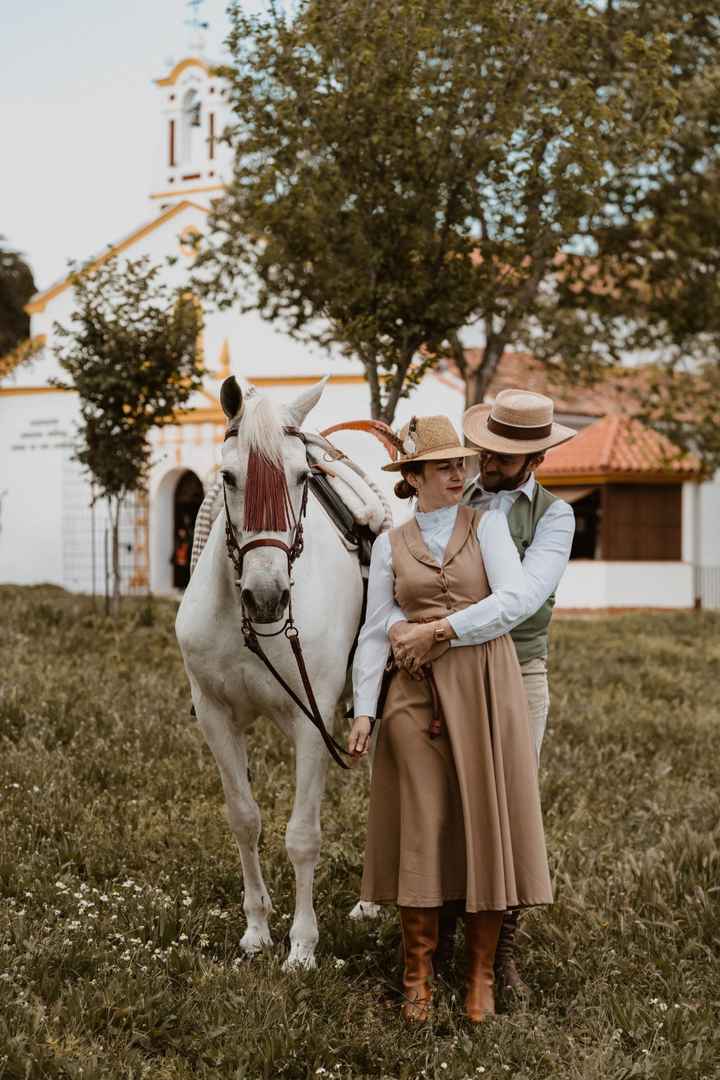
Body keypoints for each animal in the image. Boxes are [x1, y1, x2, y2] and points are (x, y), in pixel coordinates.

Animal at [174, 378, 367, 972]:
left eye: (302, 476)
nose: (266, 596)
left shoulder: (313, 722)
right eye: (228, 477)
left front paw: (302, 947)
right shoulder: (215, 716)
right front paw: (257, 929)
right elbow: (245, 817)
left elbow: (302, 835)